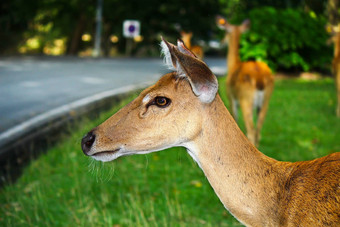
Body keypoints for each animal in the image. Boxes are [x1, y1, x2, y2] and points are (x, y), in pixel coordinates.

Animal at [216, 16, 274, 147]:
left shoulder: (231, 99)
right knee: (258, 132)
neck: (233, 66)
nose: (221, 42)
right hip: (265, 102)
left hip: (246, 100)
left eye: (225, 32)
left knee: (251, 132)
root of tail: (259, 78)